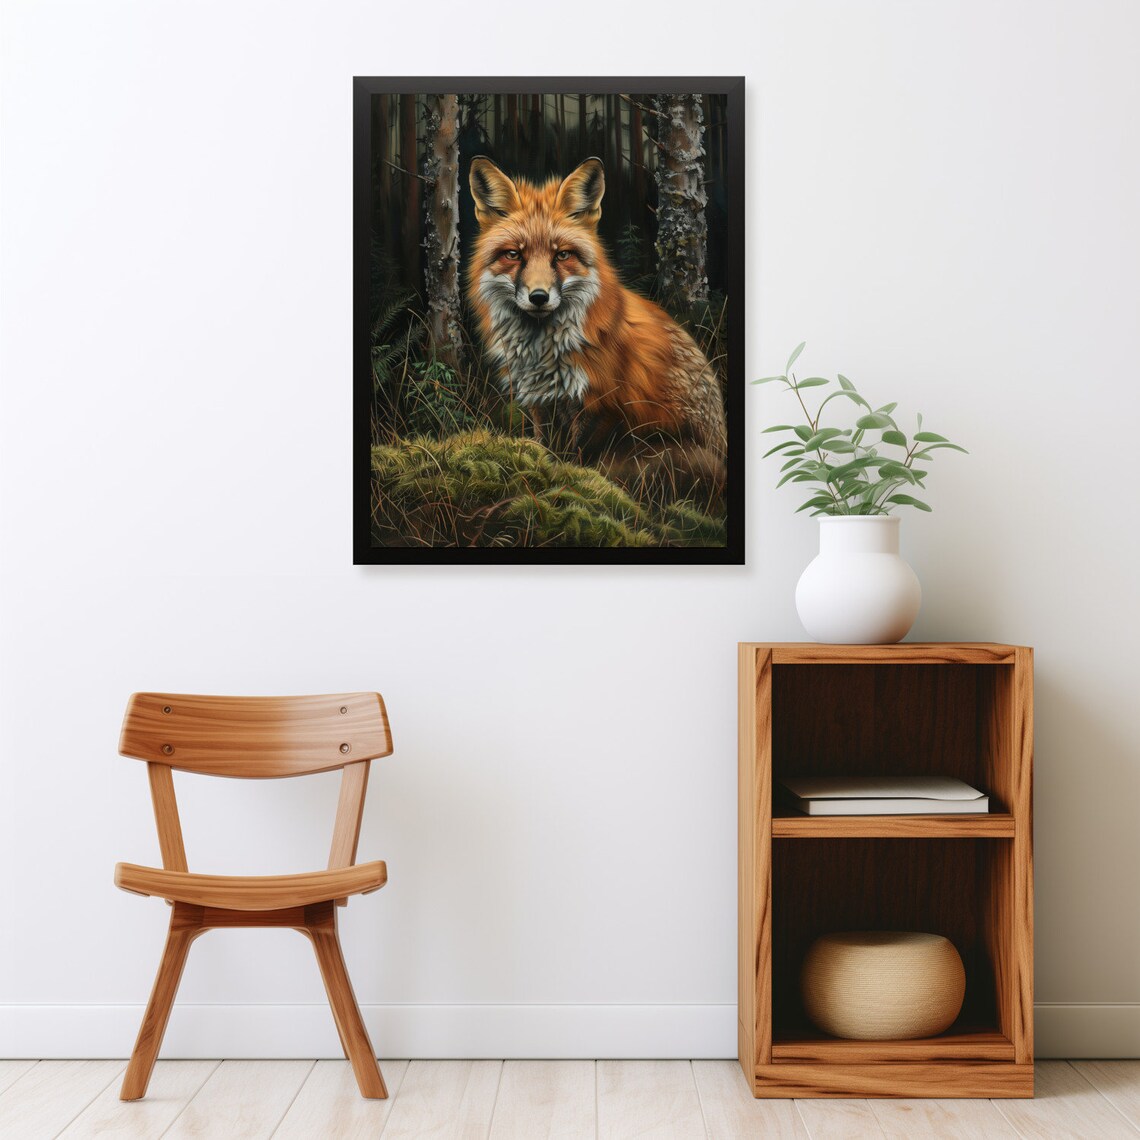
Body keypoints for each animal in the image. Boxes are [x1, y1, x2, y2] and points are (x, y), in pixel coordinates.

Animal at [466, 156, 727, 499]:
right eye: (514, 254)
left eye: (562, 255)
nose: (539, 297)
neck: (545, 352)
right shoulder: (540, 401)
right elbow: (545, 448)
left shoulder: (601, 406)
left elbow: (576, 460)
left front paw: (562, 486)